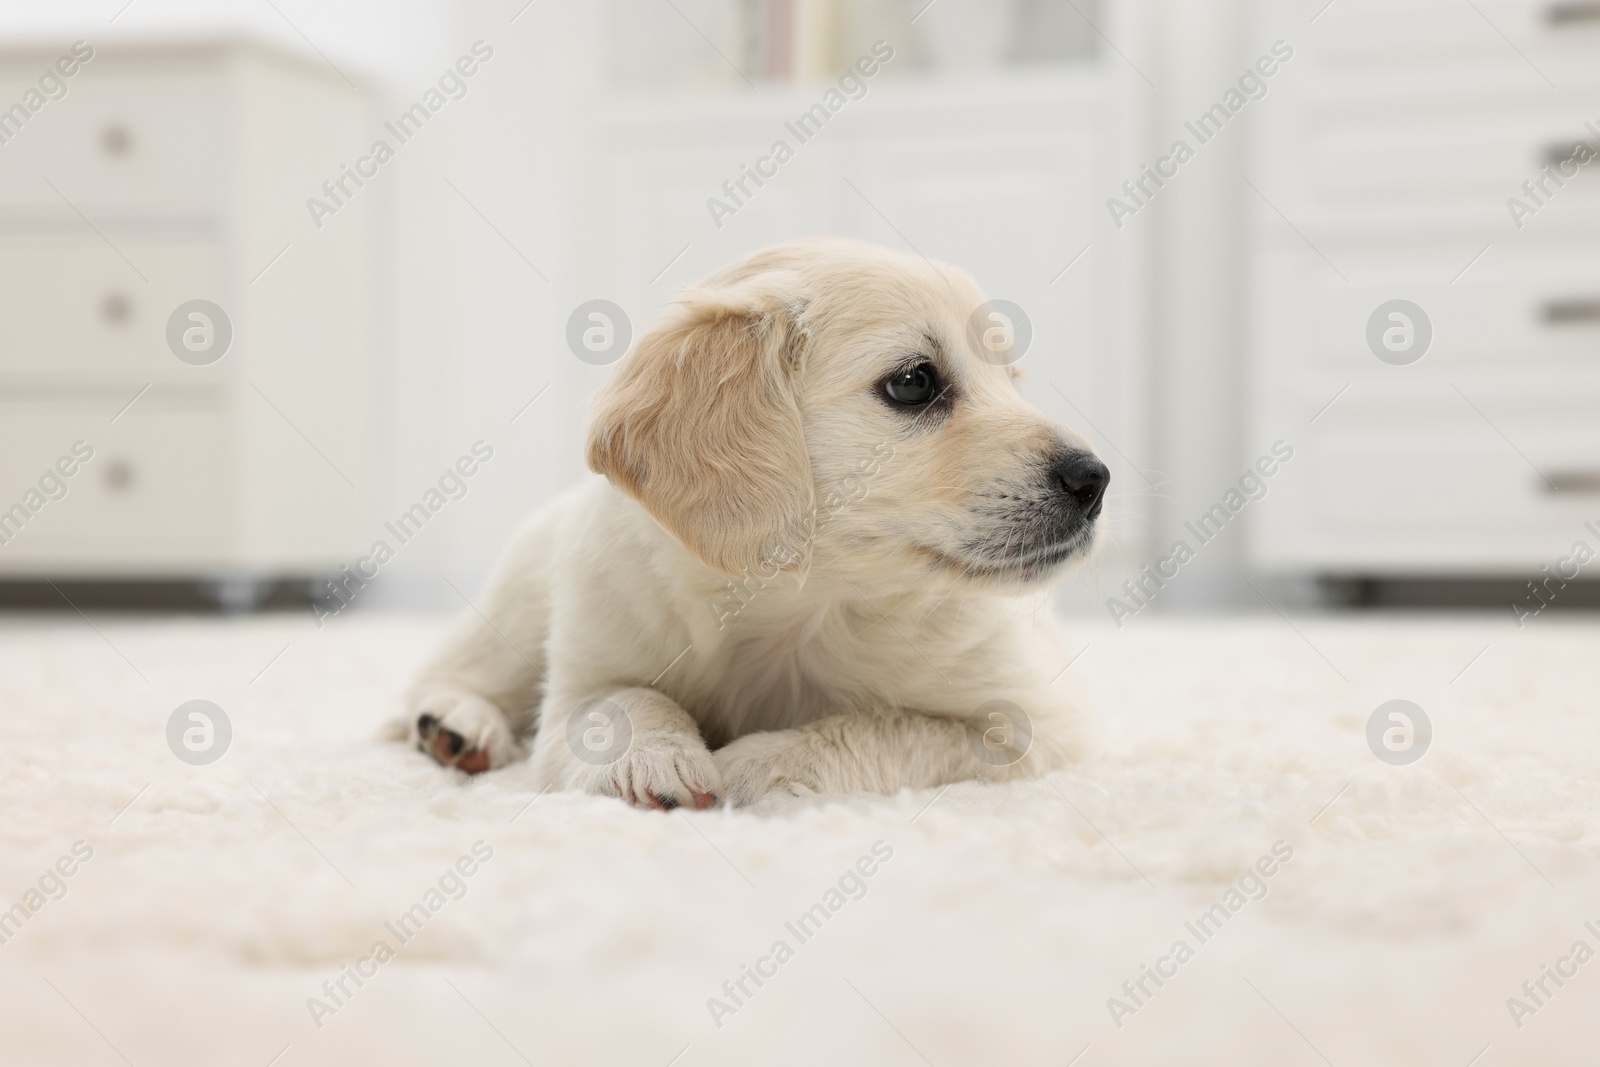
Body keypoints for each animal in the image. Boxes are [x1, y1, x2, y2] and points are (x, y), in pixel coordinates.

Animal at [412, 239, 1107, 809]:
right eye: (914, 383)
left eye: (1011, 380)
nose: (1094, 481)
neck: (797, 603)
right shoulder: (584, 676)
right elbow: (621, 704)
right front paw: (657, 756)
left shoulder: (1034, 721)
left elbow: (886, 727)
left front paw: (758, 763)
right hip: (522, 591)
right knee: (451, 675)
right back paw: (458, 725)